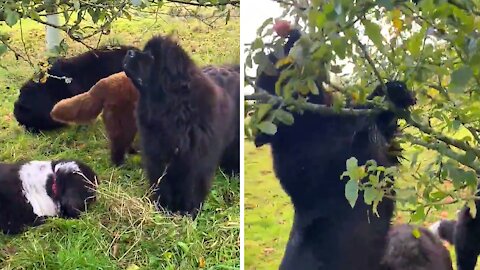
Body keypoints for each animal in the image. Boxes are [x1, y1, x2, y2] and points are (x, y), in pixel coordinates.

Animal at [122, 36, 238, 217]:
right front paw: (163, 208)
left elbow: (191, 188)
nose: (129, 52)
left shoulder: (195, 161)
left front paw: (188, 212)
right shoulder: (157, 157)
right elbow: (161, 183)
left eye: (152, 56)